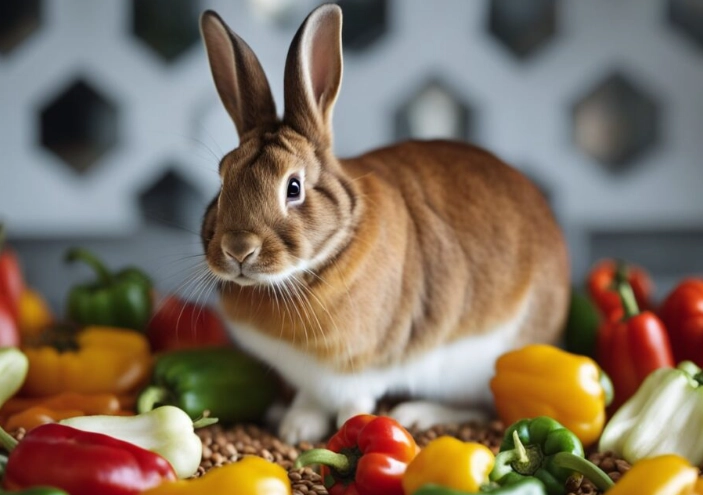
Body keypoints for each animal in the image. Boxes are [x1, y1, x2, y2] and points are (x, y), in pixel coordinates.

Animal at [198, 3, 570, 444]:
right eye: (223, 179)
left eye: (293, 187)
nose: (238, 248)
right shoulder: (309, 378)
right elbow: (308, 400)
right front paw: (295, 428)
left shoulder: (360, 371)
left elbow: (354, 403)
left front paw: (350, 428)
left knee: (482, 408)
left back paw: (415, 414)